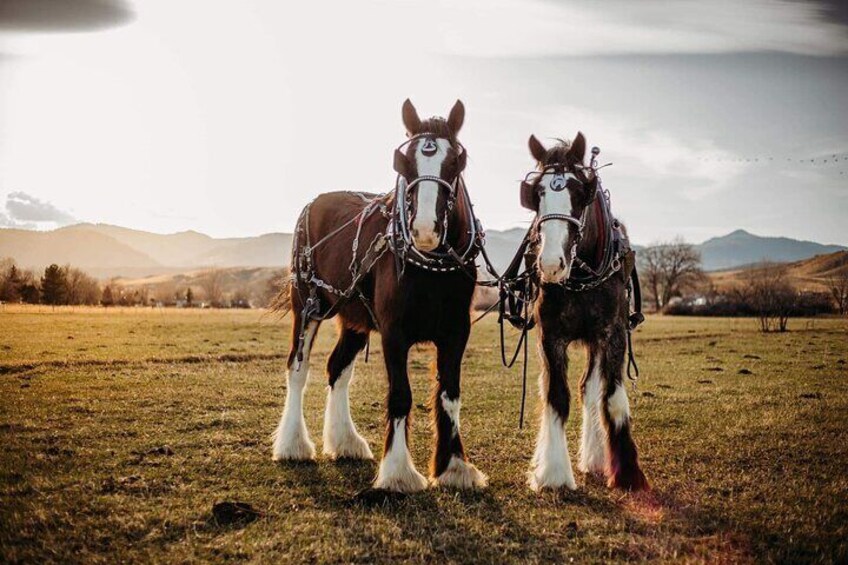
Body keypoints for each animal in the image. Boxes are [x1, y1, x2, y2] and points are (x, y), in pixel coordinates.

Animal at [270, 102, 484, 494]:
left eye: (456, 163)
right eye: (403, 163)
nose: (424, 230)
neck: (431, 265)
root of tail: (315, 201)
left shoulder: (457, 332)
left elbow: (449, 395)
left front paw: (454, 467)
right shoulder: (394, 332)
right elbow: (400, 395)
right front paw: (398, 472)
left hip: (355, 318)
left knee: (337, 368)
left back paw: (345, 442)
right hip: (307, 306)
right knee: (298, 367)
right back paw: (293, 445)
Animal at [516, 132, 648, 490]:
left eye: (578, 194)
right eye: (538, 194)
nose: (550, 263)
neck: (581, 276)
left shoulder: (612, 334)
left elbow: (612, 397)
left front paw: (627, 471)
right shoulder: (551, 337)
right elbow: (556, 396)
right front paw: (554, 473)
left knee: (592, 388)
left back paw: (597, 457)